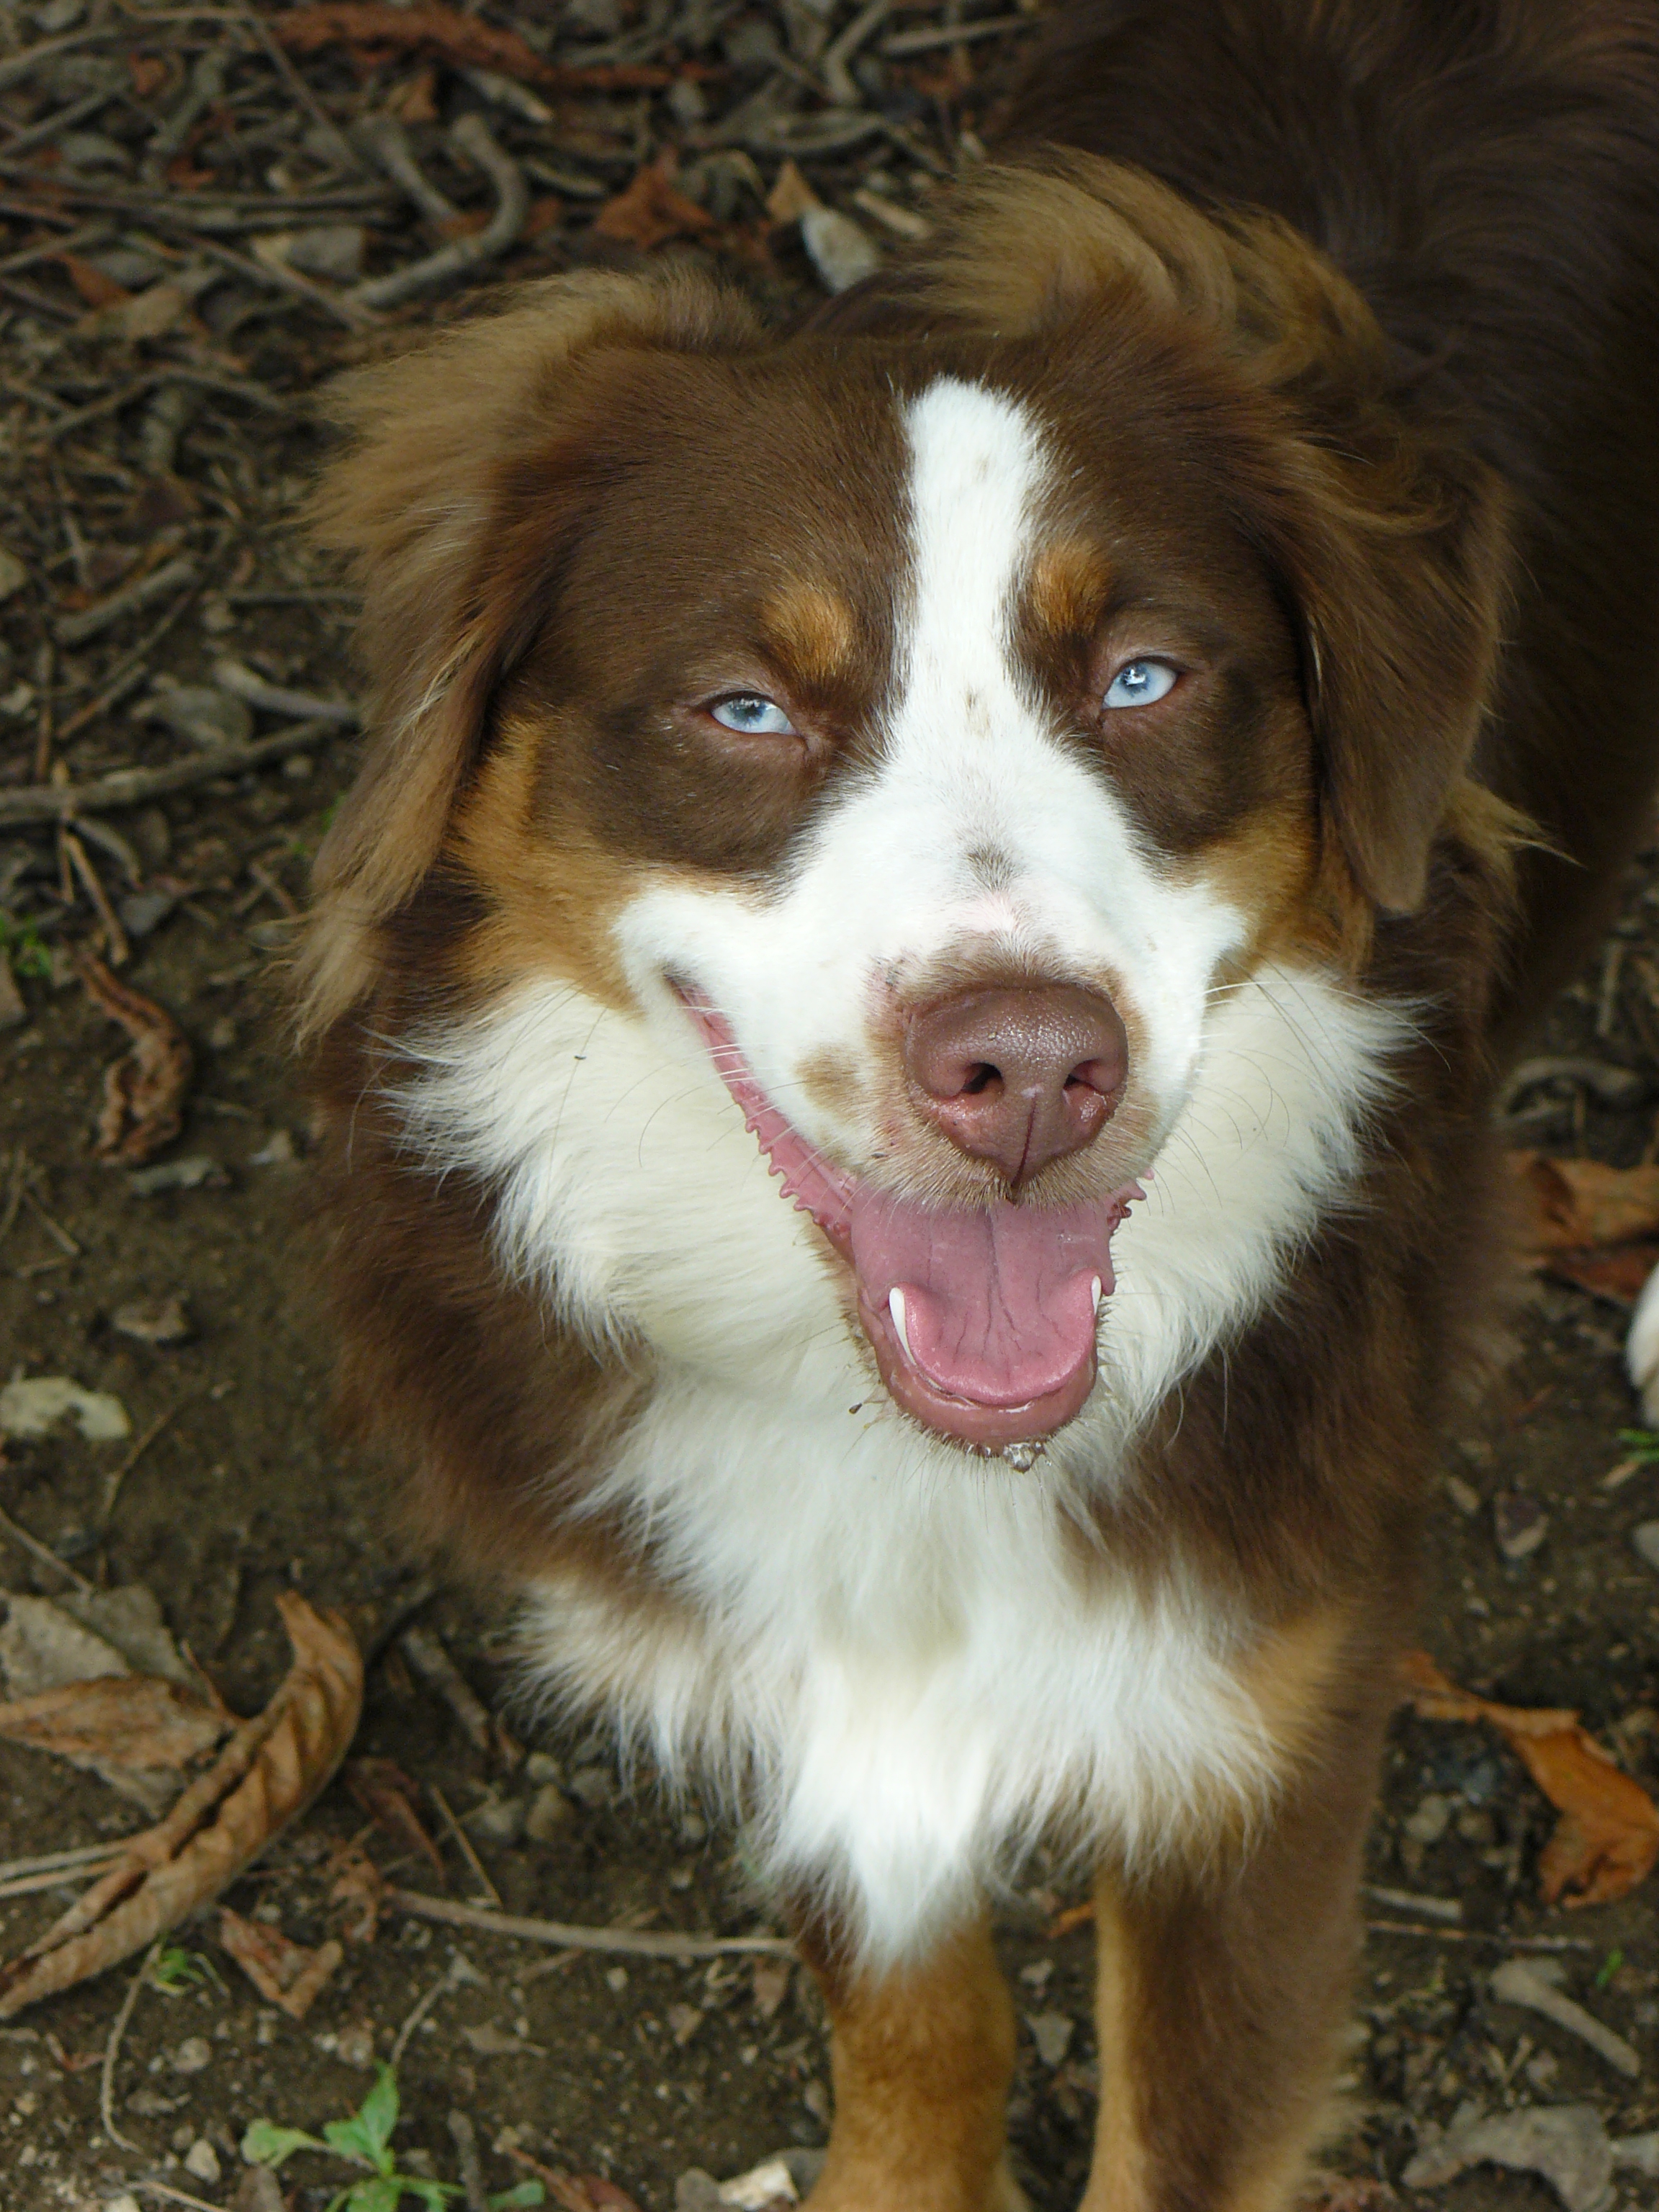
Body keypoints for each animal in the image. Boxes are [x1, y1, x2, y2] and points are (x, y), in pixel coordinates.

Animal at [298, 2, 1659, 2204]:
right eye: (745, 709)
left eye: (1147, 678)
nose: (1025, 1063)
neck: (927, 1453)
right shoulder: (801, 1653)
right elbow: (909, 2011)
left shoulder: (1256, 1720)